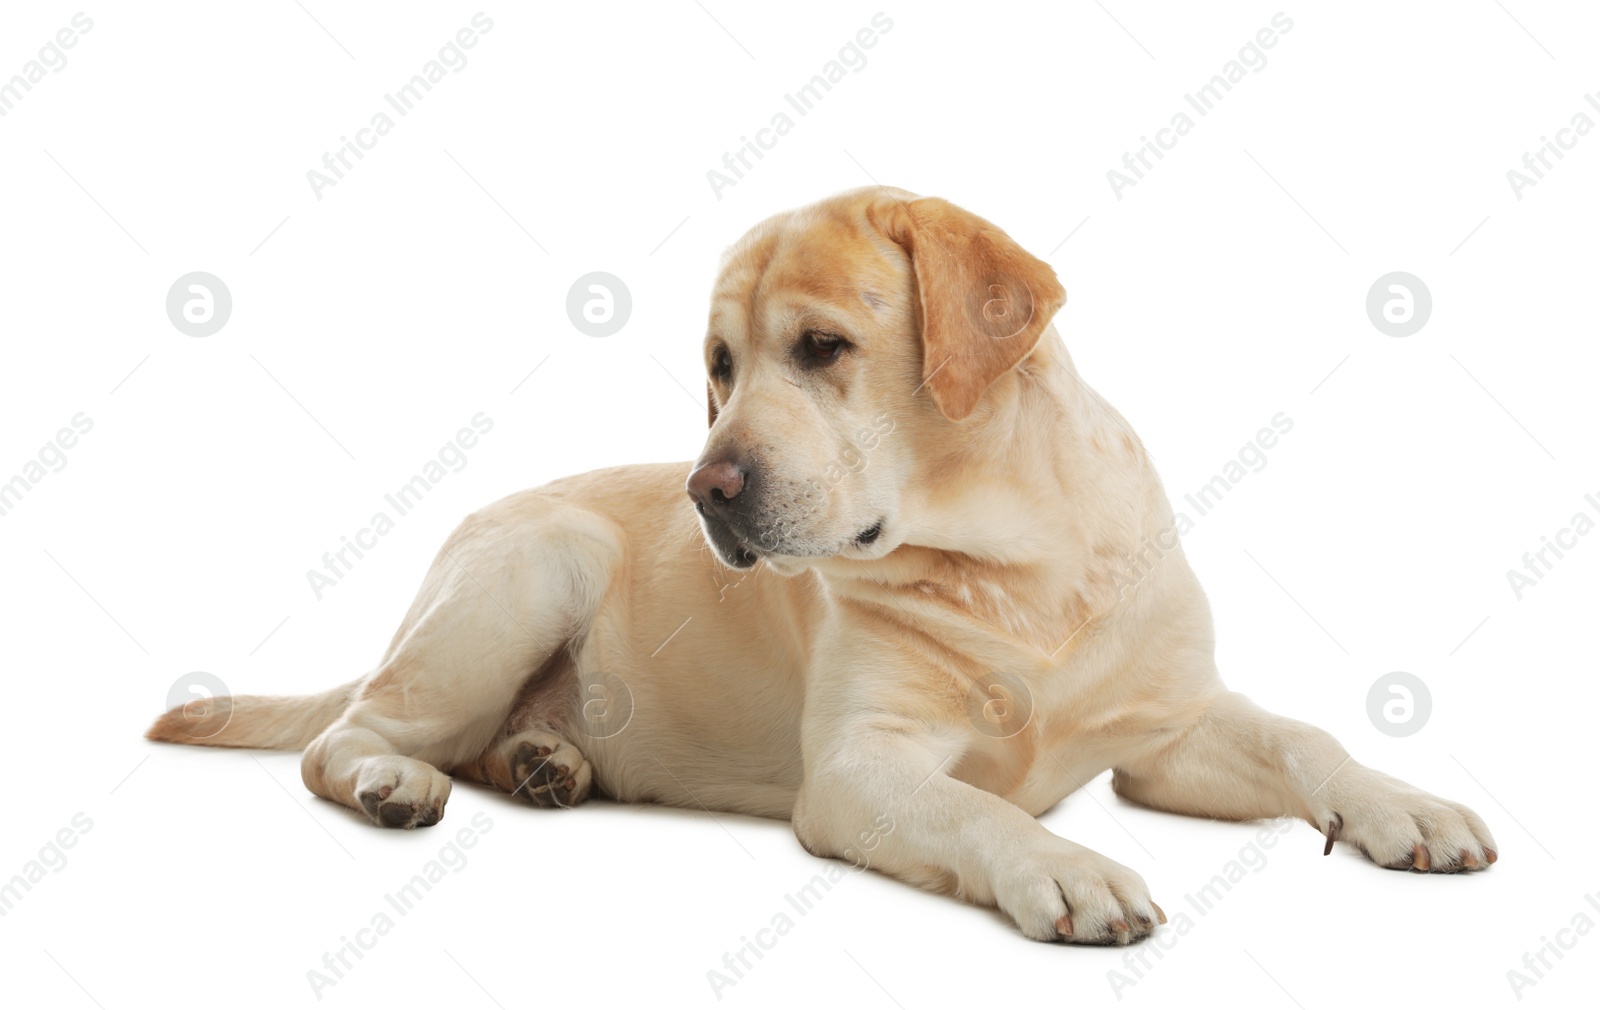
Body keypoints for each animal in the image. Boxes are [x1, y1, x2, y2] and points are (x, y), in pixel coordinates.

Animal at [144, 189, 1491, 947]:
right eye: (719, 366)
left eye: (822, 347)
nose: (704, 490)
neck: (1015, 561)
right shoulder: (857, 768)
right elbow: (980, 804)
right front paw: (1063, 865)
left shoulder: (1170, 730)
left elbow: (1304, 737)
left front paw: (1405, 803)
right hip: (534, 566)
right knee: (350, 734)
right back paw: (395, 780)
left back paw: (543, 759)